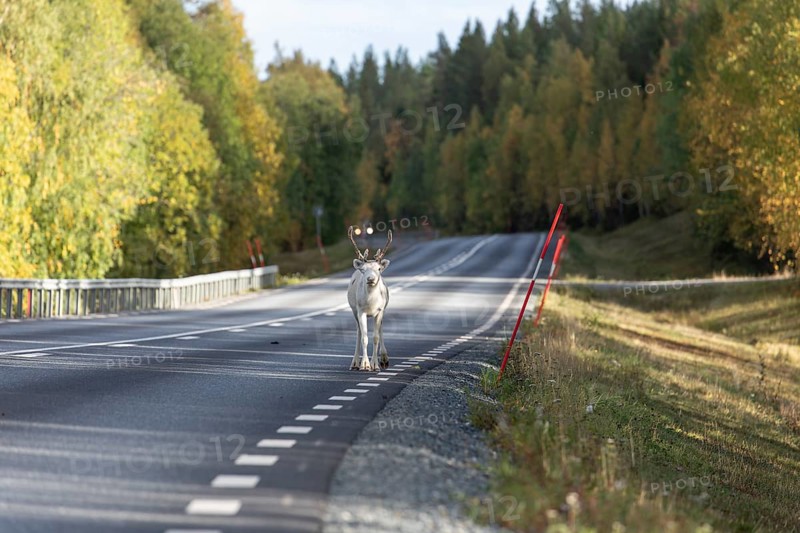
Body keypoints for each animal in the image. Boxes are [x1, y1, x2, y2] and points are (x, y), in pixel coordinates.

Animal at [347, 226, 391, 371]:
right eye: (363, 269)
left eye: (379, 268)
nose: (370, 279)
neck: (371, 303)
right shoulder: (361, 311)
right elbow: (364, 337)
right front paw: (365, 365)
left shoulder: (380, 310)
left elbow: (375, 337)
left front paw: (375, 365)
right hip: (354, 311)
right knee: (359, 332)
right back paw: (355, 362)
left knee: (381, 329)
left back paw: (384, 359)